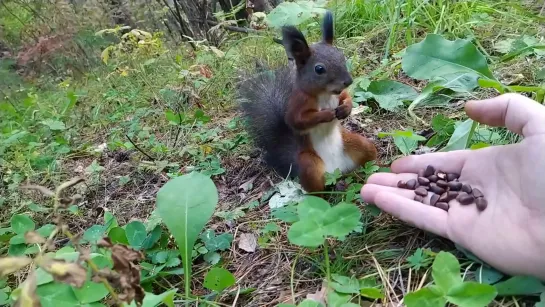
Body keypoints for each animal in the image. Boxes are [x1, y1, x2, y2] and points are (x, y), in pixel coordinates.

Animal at [236, 10, 376, 194]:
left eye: (341, 56)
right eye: (319, 69)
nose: (348, 81)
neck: (325, 94)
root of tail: (337, 170)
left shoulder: (339, 94)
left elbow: (346, 97)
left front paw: (345, 108)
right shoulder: (299, 102)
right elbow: (297, 120)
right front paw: (326, 114)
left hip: (358, 144)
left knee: (367, 153)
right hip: (310, 166)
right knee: (318, 190)